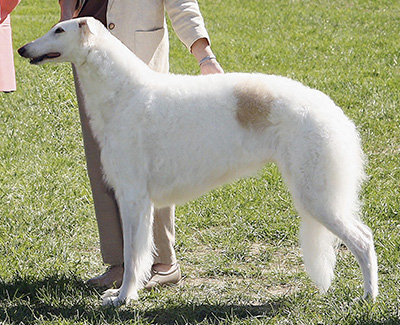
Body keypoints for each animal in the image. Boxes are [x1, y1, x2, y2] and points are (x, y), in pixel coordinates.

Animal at [18, 17, 378, 306]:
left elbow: (132, 255)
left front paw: (123, 298)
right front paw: (121, 293)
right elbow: (139, 253)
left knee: (363, 239)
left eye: (59, 30)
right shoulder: (140, 199)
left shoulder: (133, 195)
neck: (125, 92)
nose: (22, 49)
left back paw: (368, 298)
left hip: (315, 193)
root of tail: (331, 109)